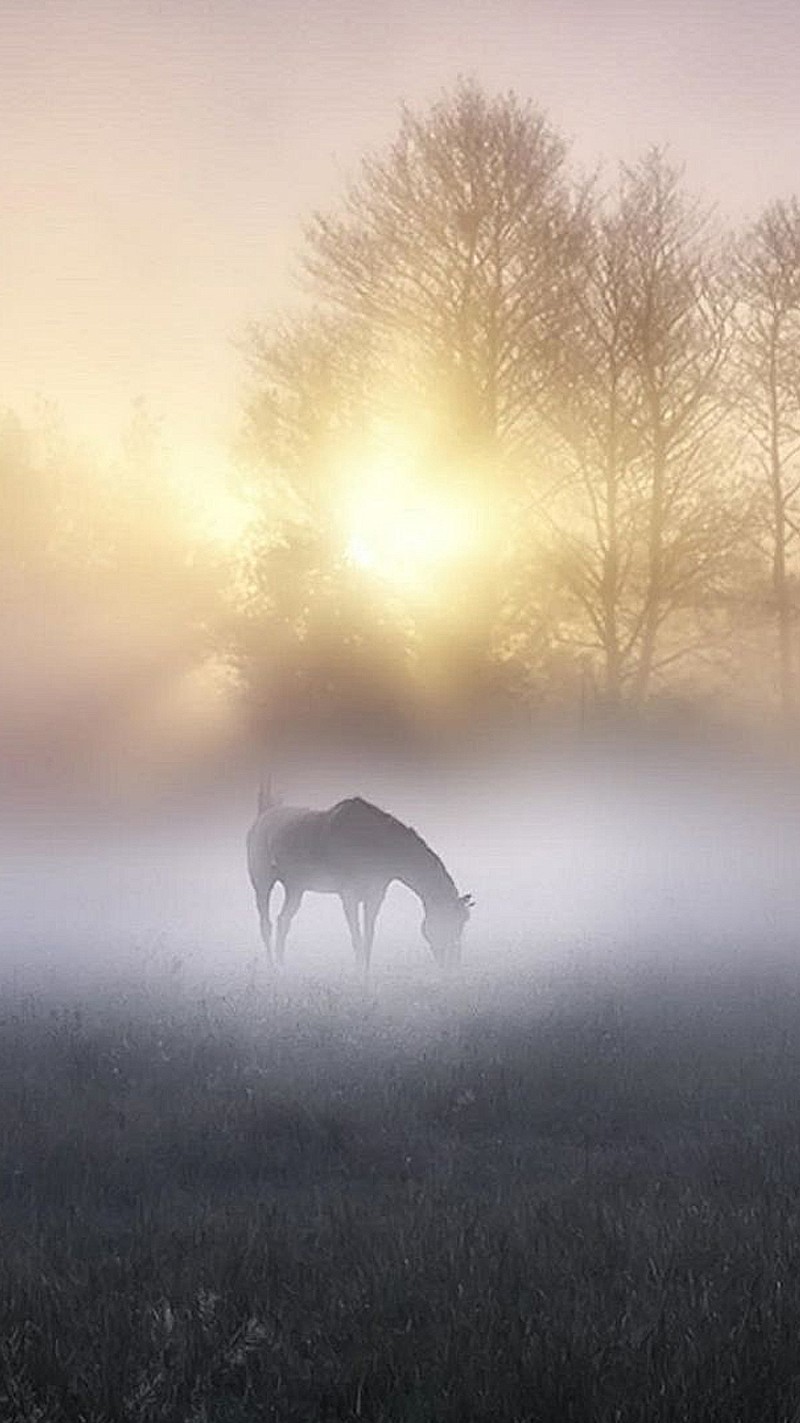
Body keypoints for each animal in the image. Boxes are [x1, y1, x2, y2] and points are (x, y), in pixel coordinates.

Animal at [246, 785, 469, 973]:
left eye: (462, 923)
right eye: (450, 923)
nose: (454, 965)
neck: (375, 842)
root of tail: (261, 817)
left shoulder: (375, 895)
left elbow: (368, 937)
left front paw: (365, 974)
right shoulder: (349, 895)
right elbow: (356, 936)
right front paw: (359, 975)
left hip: (295, 889)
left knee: (283, 921)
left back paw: (282, 966)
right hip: (262, 883)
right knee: (266, 925)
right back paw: (273, 969)